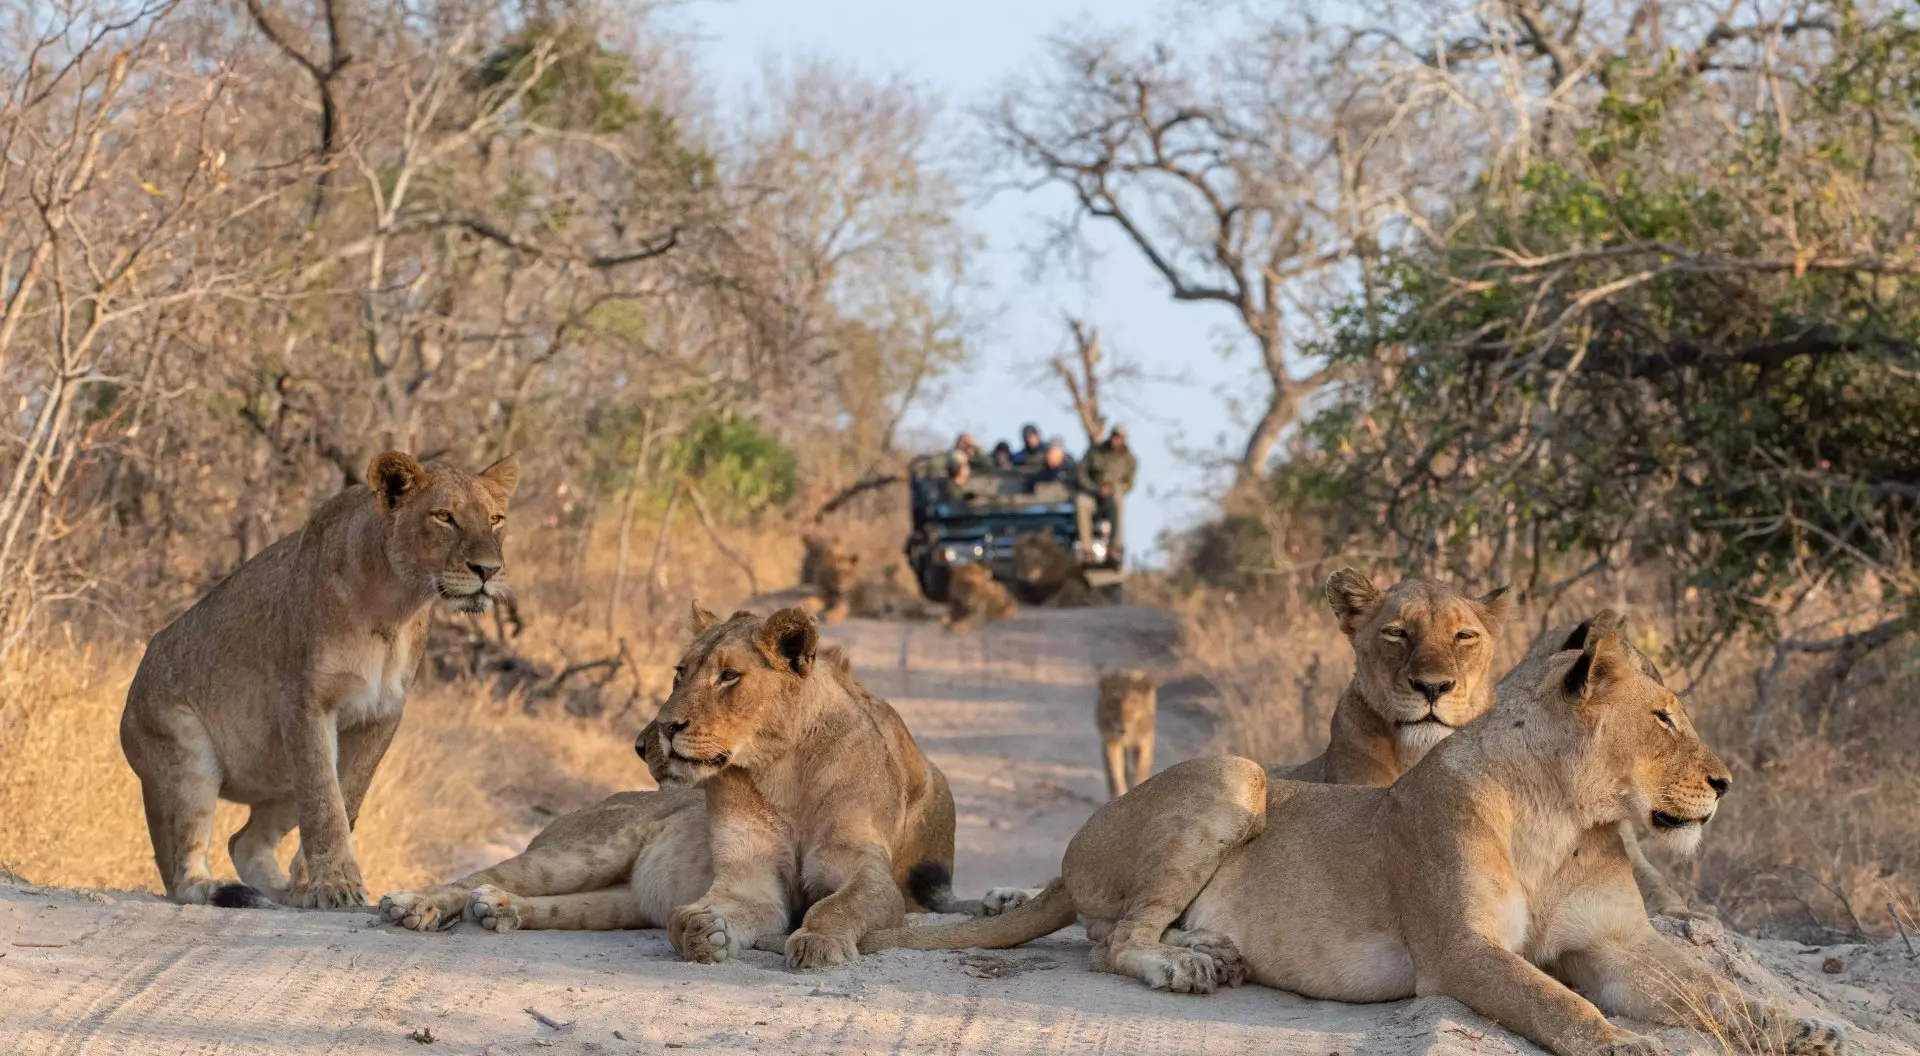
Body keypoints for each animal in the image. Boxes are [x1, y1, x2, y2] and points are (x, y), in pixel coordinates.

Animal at [120, 451, 519, 909]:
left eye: (496, 519)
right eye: (445, 517)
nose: (489, 570)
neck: (395, 608)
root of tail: (127, 712)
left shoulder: (381, 715)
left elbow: (347, 797)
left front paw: (314, 882)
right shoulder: (304, 703)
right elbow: (324, 803)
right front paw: (336, 885)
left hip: (278, 774)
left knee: (244, 842)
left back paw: (282, 894)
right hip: (186, 754)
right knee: (183, 867)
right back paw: (226, 890)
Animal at [379, 603, 989, 969]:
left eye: (729, 676)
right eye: (680, 672)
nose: (658, 733)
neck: (783, 770)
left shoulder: (867, 874)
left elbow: (837, 907)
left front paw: (818, 944)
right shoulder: (747, 883)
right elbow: (705, 913)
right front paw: (702, 934)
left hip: (617, 900)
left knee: (555, 904)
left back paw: (499, 911)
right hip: (583, 851)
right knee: (480, 875)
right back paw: (414, 905)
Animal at [1096, 669, 1157, 799]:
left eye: (1134, 700)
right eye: (1115, 700)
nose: (1122, 721)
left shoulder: (1144, 742)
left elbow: (1141, 769)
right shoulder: (1110, 742)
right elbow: (1114, 772)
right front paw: (1118, 795)